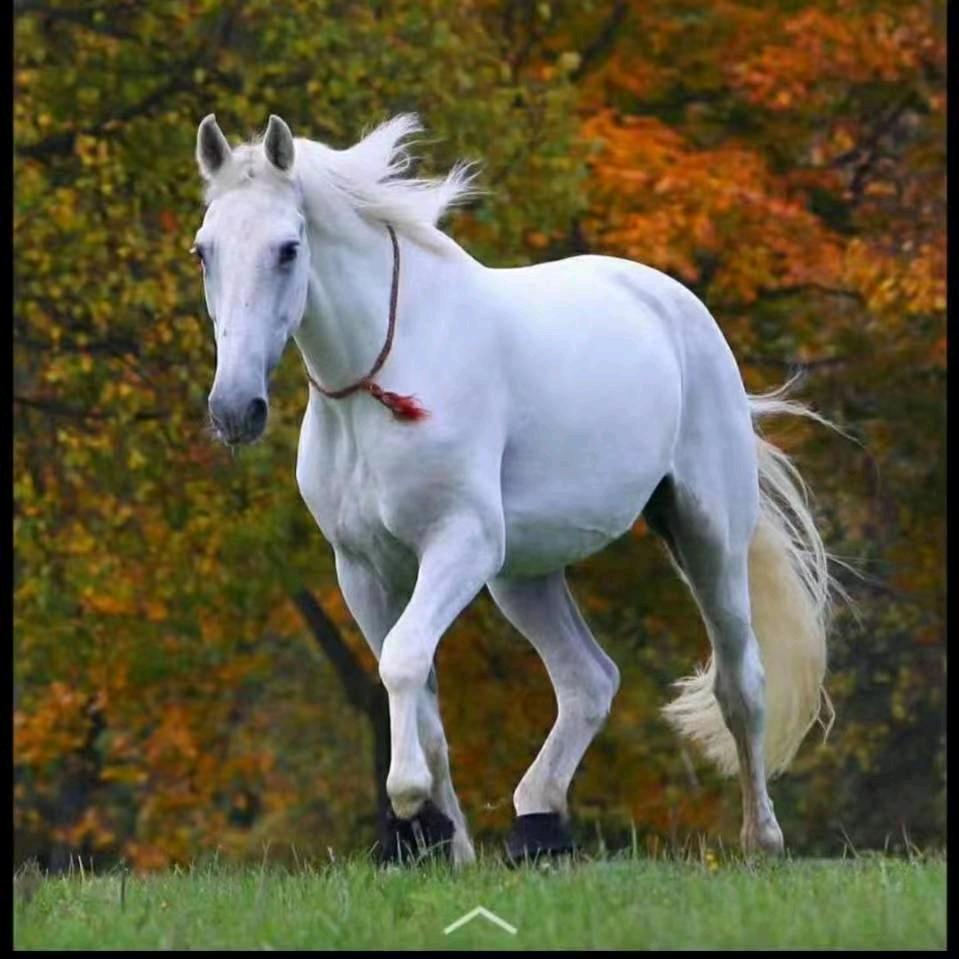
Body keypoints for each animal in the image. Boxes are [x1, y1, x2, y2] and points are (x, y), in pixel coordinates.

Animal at [191, 112, 839, 865]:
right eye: (203, 251)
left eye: (288, 249)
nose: (235, 410)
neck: (386, 379)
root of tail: (674, 303)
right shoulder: (362, 569)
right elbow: (422, 698)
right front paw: (445, 845)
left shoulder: (460, 544)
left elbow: (404, 660)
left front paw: (408, 799)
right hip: (523, 575)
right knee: (588, 681)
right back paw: (537, 826)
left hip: (705, 538)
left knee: (741, 683)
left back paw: (760, 838)